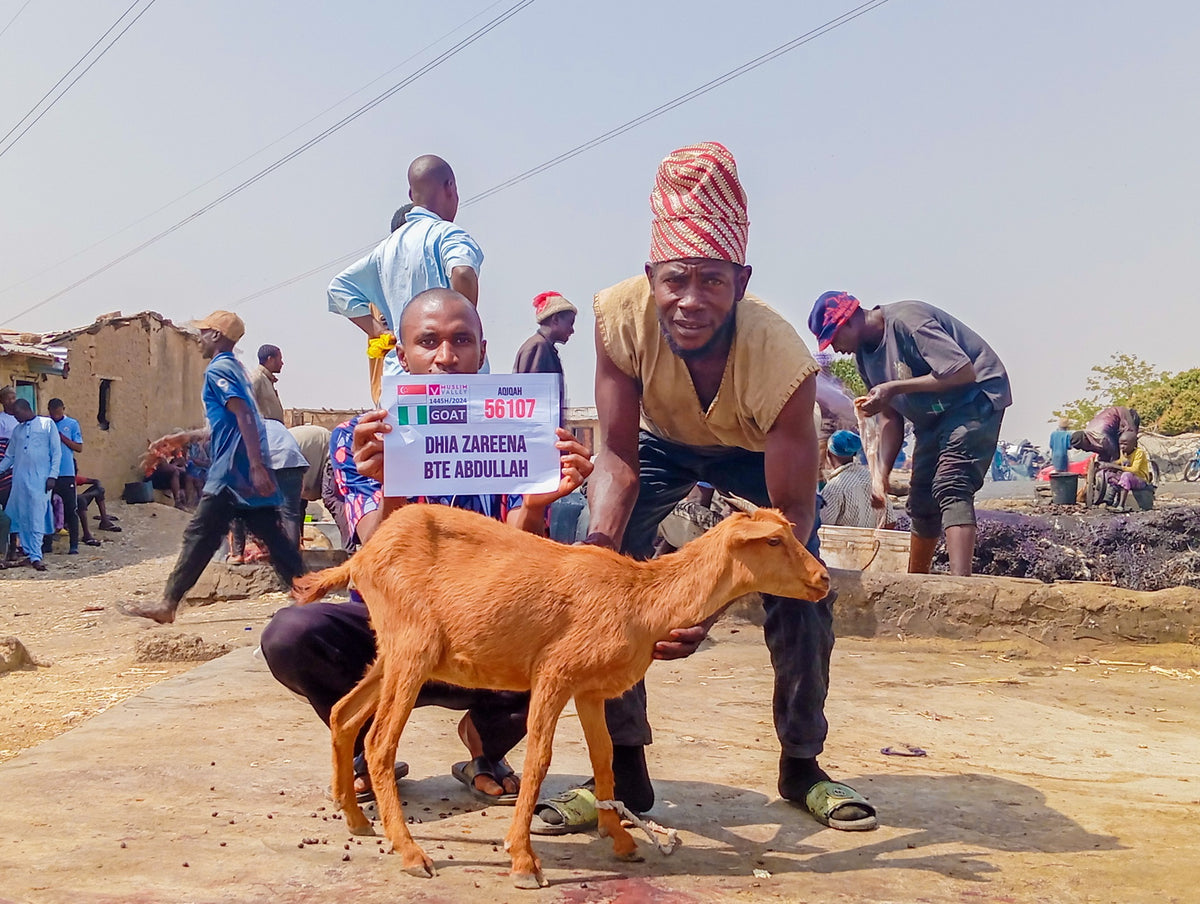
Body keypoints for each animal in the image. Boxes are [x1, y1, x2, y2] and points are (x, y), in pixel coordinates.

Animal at [292, 503, 829, 888]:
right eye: (774, 540)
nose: (823, 579)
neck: (639, 597)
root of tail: (361, 556)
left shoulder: (590, 689)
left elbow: (605, 756)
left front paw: (620, 838)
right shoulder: (554, 673)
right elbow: (539, 758)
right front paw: (523, 861)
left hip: (393, 651)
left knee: (343, 714)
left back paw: (356, 820)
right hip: (412, 647)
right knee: (379, 741)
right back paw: (410, 853)